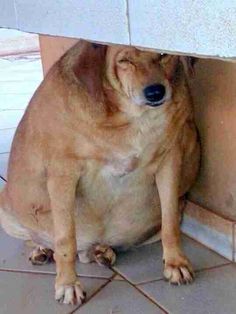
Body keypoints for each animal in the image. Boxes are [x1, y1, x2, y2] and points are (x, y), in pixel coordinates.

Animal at [0, 40, 199, 306]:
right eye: (124, 61)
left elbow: (169, 224)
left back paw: (101, 251)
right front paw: (67, 284)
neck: (130, 118)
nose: (155, 92)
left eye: (163, 54)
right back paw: (43, 250)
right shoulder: (63, 174)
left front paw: (175, 263)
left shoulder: (170, 161)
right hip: (7, 209)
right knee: (43, 238)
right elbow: (65, 238)